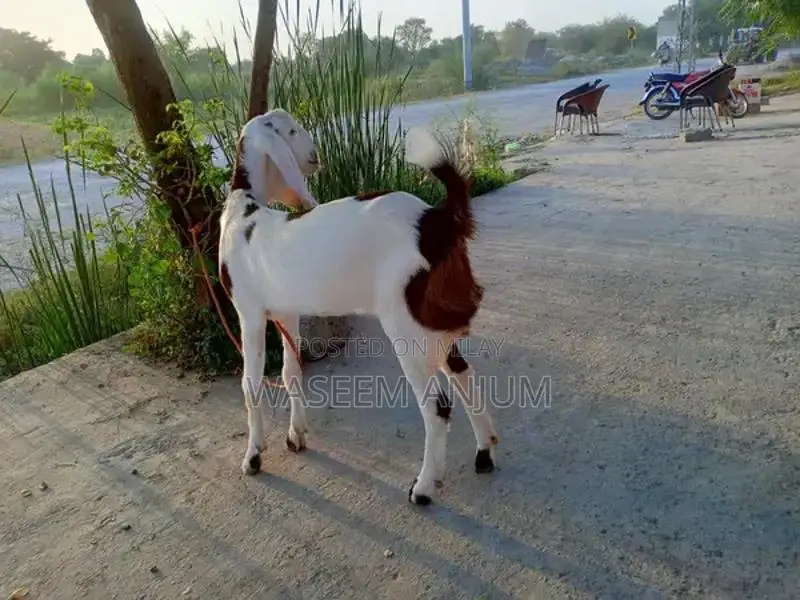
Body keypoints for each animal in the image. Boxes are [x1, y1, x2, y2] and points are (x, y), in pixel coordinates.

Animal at [218, 108, 499, 505]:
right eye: (291, 130)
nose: (315, 157)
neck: (245, 213)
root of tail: (437, 222)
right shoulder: (287, 313)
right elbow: (291, 372)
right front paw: (295, 436)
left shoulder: (249, 313)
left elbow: (251, 384)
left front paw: (253, 456)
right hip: (431, 322)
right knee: (464, 374)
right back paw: (484, 453)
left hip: (406, 327)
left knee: (437, 406)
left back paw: (423, 488)